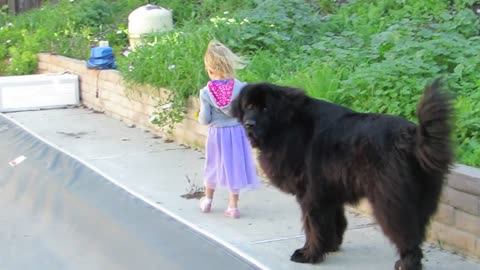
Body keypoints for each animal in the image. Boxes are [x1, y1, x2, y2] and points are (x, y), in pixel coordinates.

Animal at [232, 80, 454, 270]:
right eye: (249, 106)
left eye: (265, 109)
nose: (249, 124)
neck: (287, 125)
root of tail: (413, 138)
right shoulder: (328, 190)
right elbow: (332, 221)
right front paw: (329, 246)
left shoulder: (311, 194)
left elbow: (312, 225)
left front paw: (308, 254)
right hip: (421, 199)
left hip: (390, 200)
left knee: (406, 236)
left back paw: (406, 264)